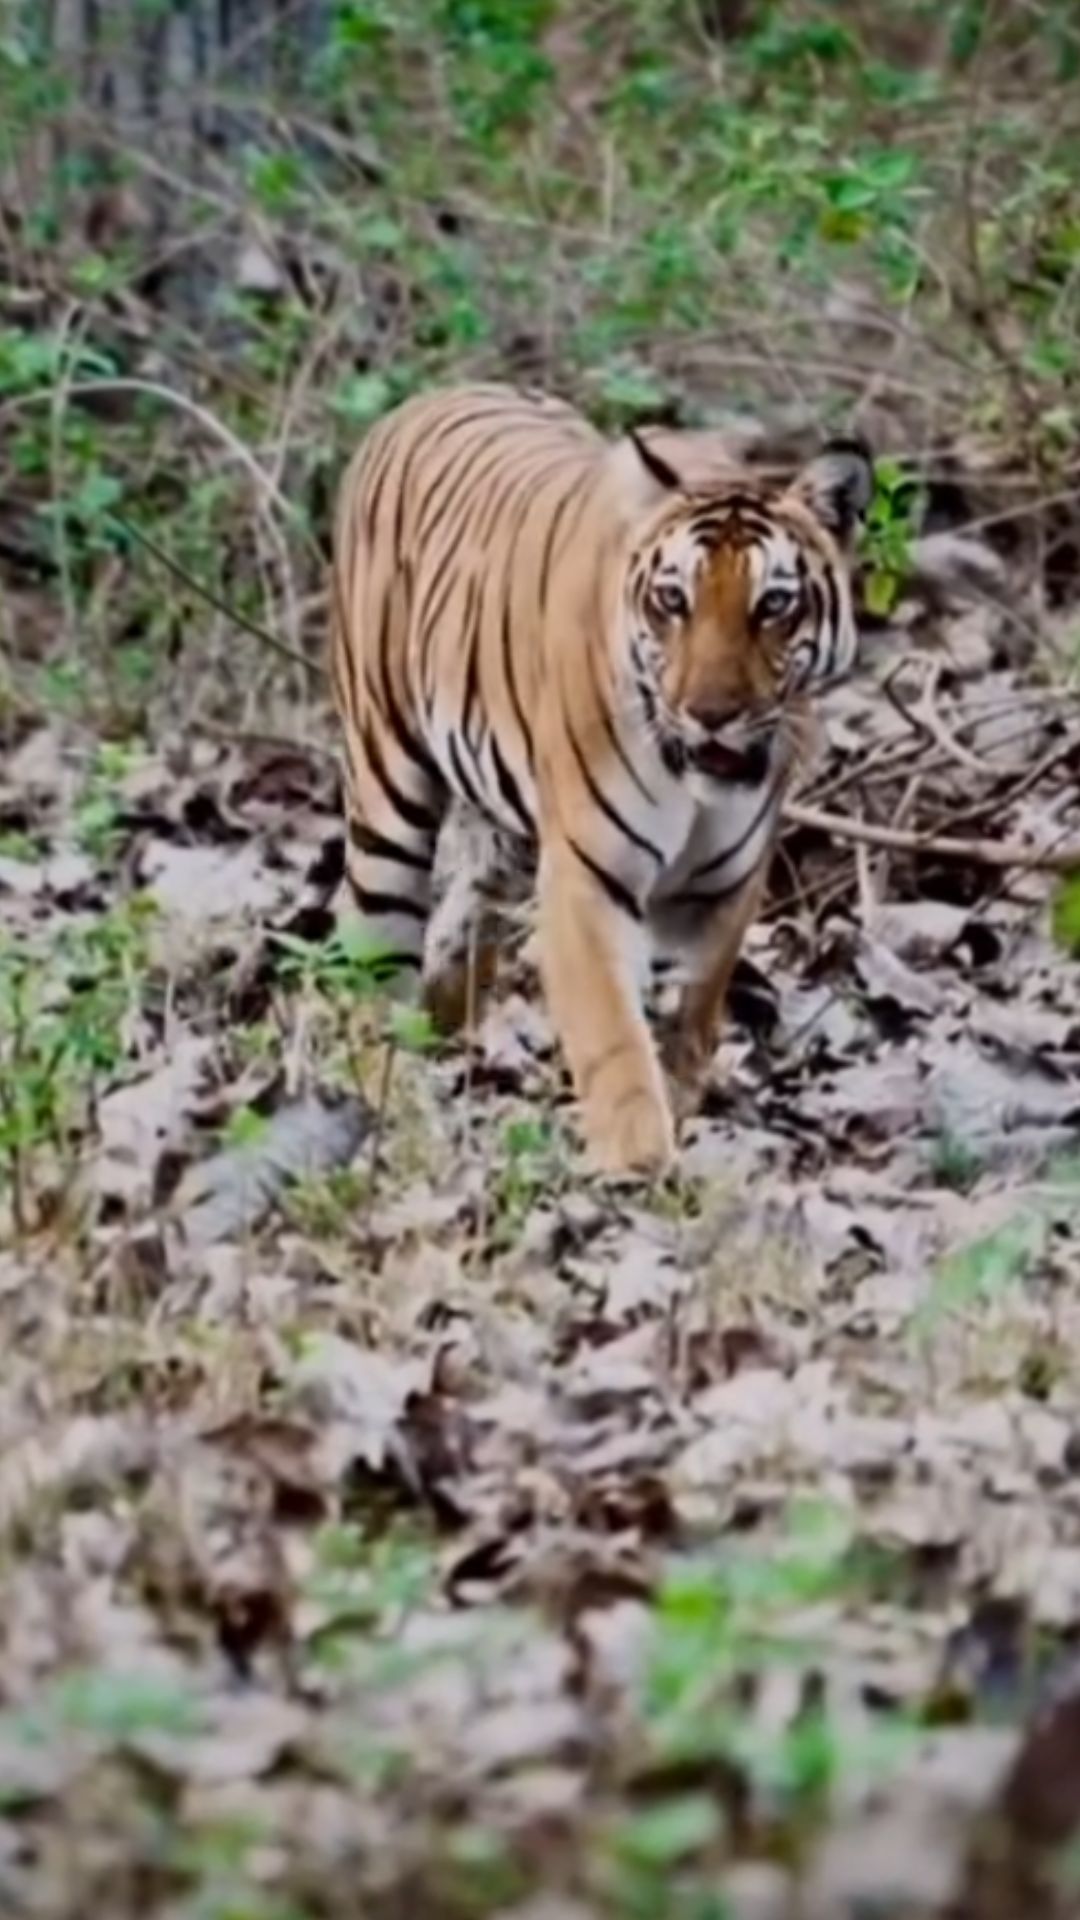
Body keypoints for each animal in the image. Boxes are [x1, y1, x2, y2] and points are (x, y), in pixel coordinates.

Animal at [330, 382, 871, 1177]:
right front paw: (640, 1161)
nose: (710, 714)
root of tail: (423, 398)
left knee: (462, 919)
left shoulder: (726, 886)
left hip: (506, 830)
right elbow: (615, 1038)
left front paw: (681, 1106)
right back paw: (387, 1090)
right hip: (386, 786)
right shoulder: (586, 879)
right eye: (673, 601)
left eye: (773, 603)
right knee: (371, 946)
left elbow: (691, 1014)